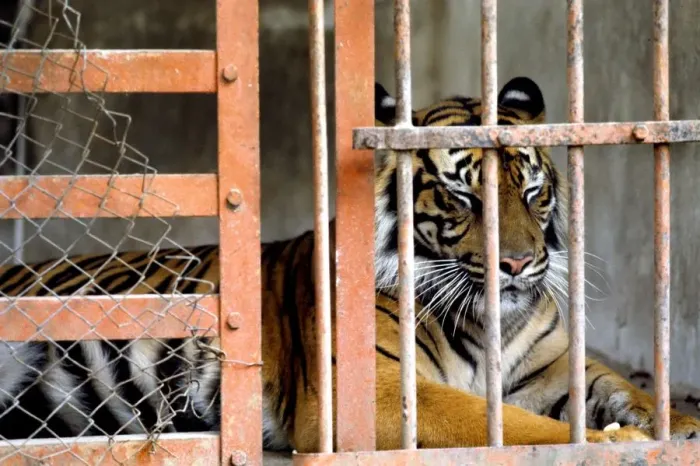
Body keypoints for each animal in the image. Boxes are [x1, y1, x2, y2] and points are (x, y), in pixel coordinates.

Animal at [1, 75, 699, 453]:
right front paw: (618, 443)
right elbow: (507, 425)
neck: (487, 321)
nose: (520, 264)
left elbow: (625, 388)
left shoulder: (556, 366)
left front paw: (680, 424)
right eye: (463, 195)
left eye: (531, 191)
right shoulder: (377, 392)